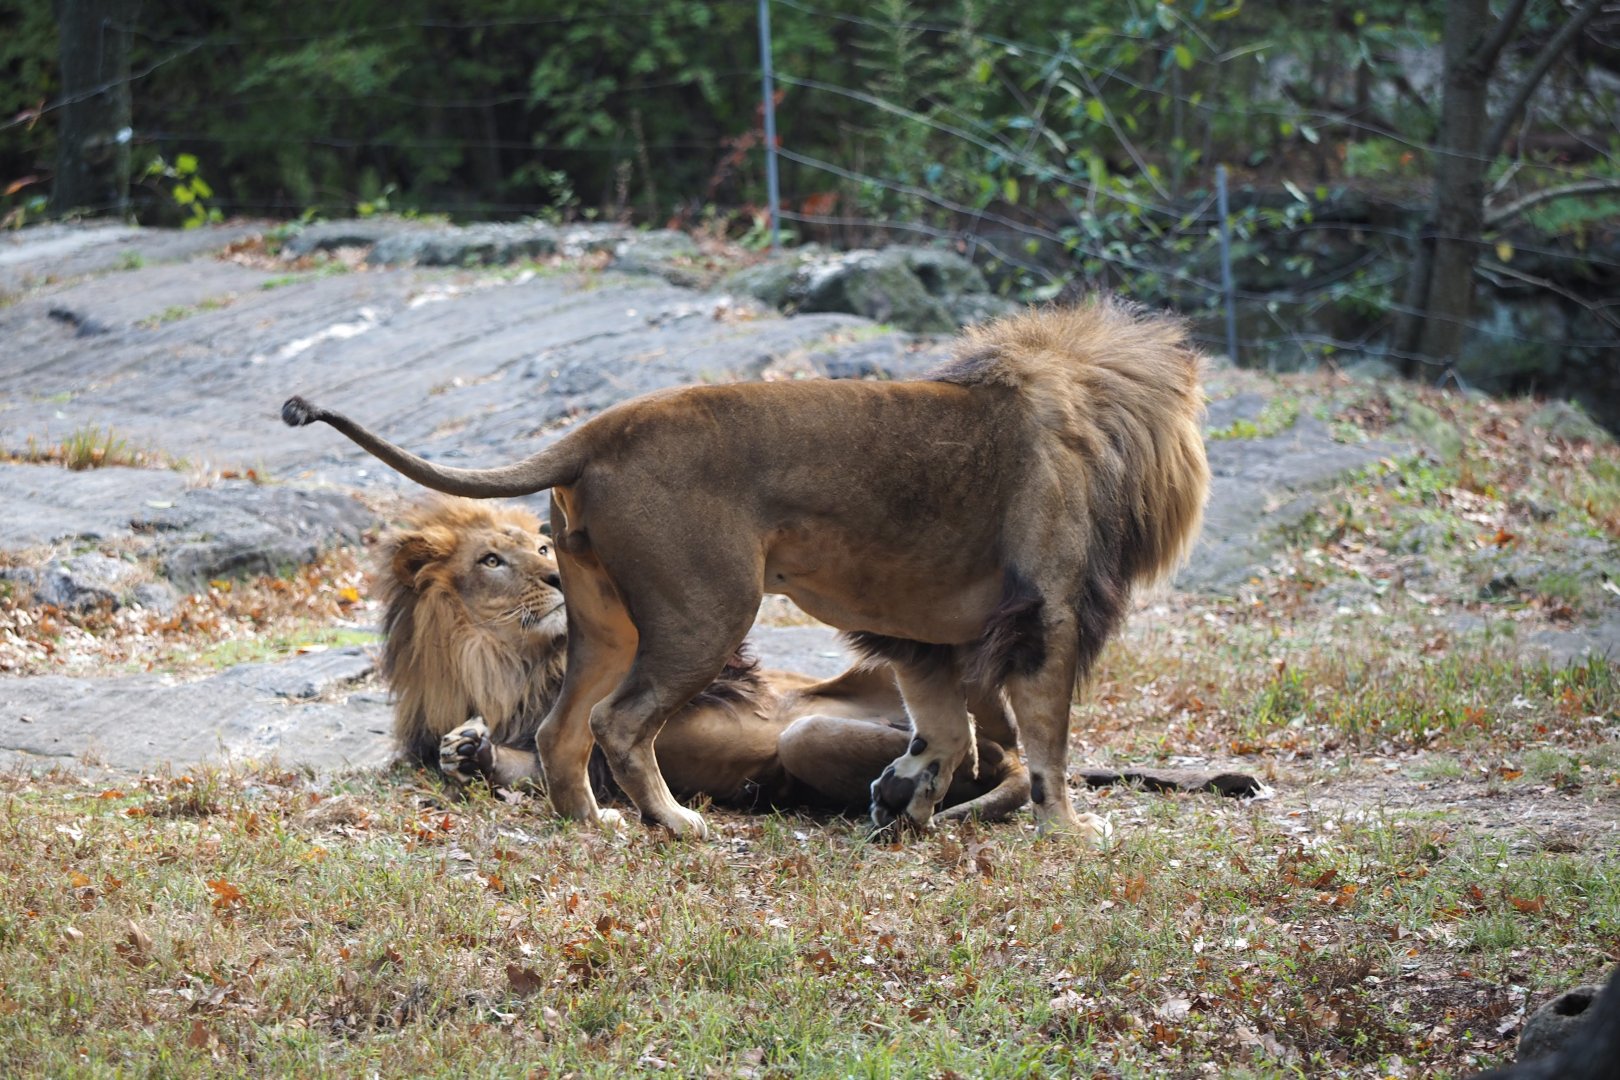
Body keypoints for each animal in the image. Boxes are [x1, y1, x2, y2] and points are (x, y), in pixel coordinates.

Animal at [378, 496, 1030, 821]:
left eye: (542, 549)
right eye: (491, 560)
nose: (557, 577)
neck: (508, 662)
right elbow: (541, 762)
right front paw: (466, 752)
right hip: (816, 739)